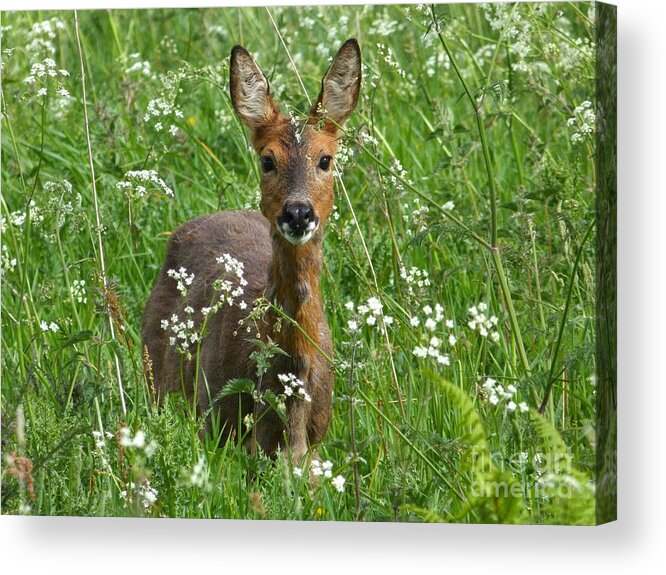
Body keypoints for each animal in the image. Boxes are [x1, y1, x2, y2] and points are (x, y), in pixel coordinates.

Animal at [138, 38, 360, 462]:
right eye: (267, 160)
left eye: (325, 159)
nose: (298, 212)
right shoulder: (216, 420)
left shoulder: (315, 443)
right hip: (157, 375)